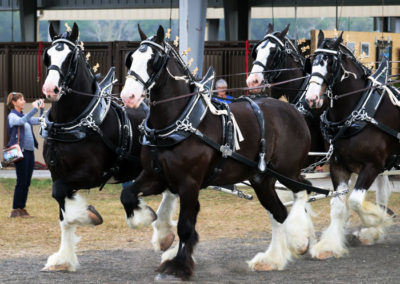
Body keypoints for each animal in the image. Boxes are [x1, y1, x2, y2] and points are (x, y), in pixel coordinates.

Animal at [39, 23, 175, 272]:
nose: (51, 89)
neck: (75, 121)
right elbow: (62, 208)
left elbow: (61, 195)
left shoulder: (90, 174)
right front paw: (64, 257)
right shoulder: (57, 173)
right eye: (48, 56)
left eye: (70, 57)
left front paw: (86, 215)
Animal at [120, 26, 314, 280]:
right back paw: (272, 259)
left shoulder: (189, 182)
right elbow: (128, 195)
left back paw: (300, 238)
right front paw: (150, 224)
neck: (180, 122)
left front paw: (178, 265)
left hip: (288, 171)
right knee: (279, 212)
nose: (128, 97)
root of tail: (293, 111)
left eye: (153, 61)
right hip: (262, 179)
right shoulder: (155, 175)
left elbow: (185, 226)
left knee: (302, 190)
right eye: (131, 58)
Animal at [304, 30, 396, 260]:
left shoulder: (373, 166)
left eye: (330, 62)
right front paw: (328, 246)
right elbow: (338, 206)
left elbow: (355, 201)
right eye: (313, 61)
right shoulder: (339, 165)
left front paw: (377, 220)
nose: (311, 98)